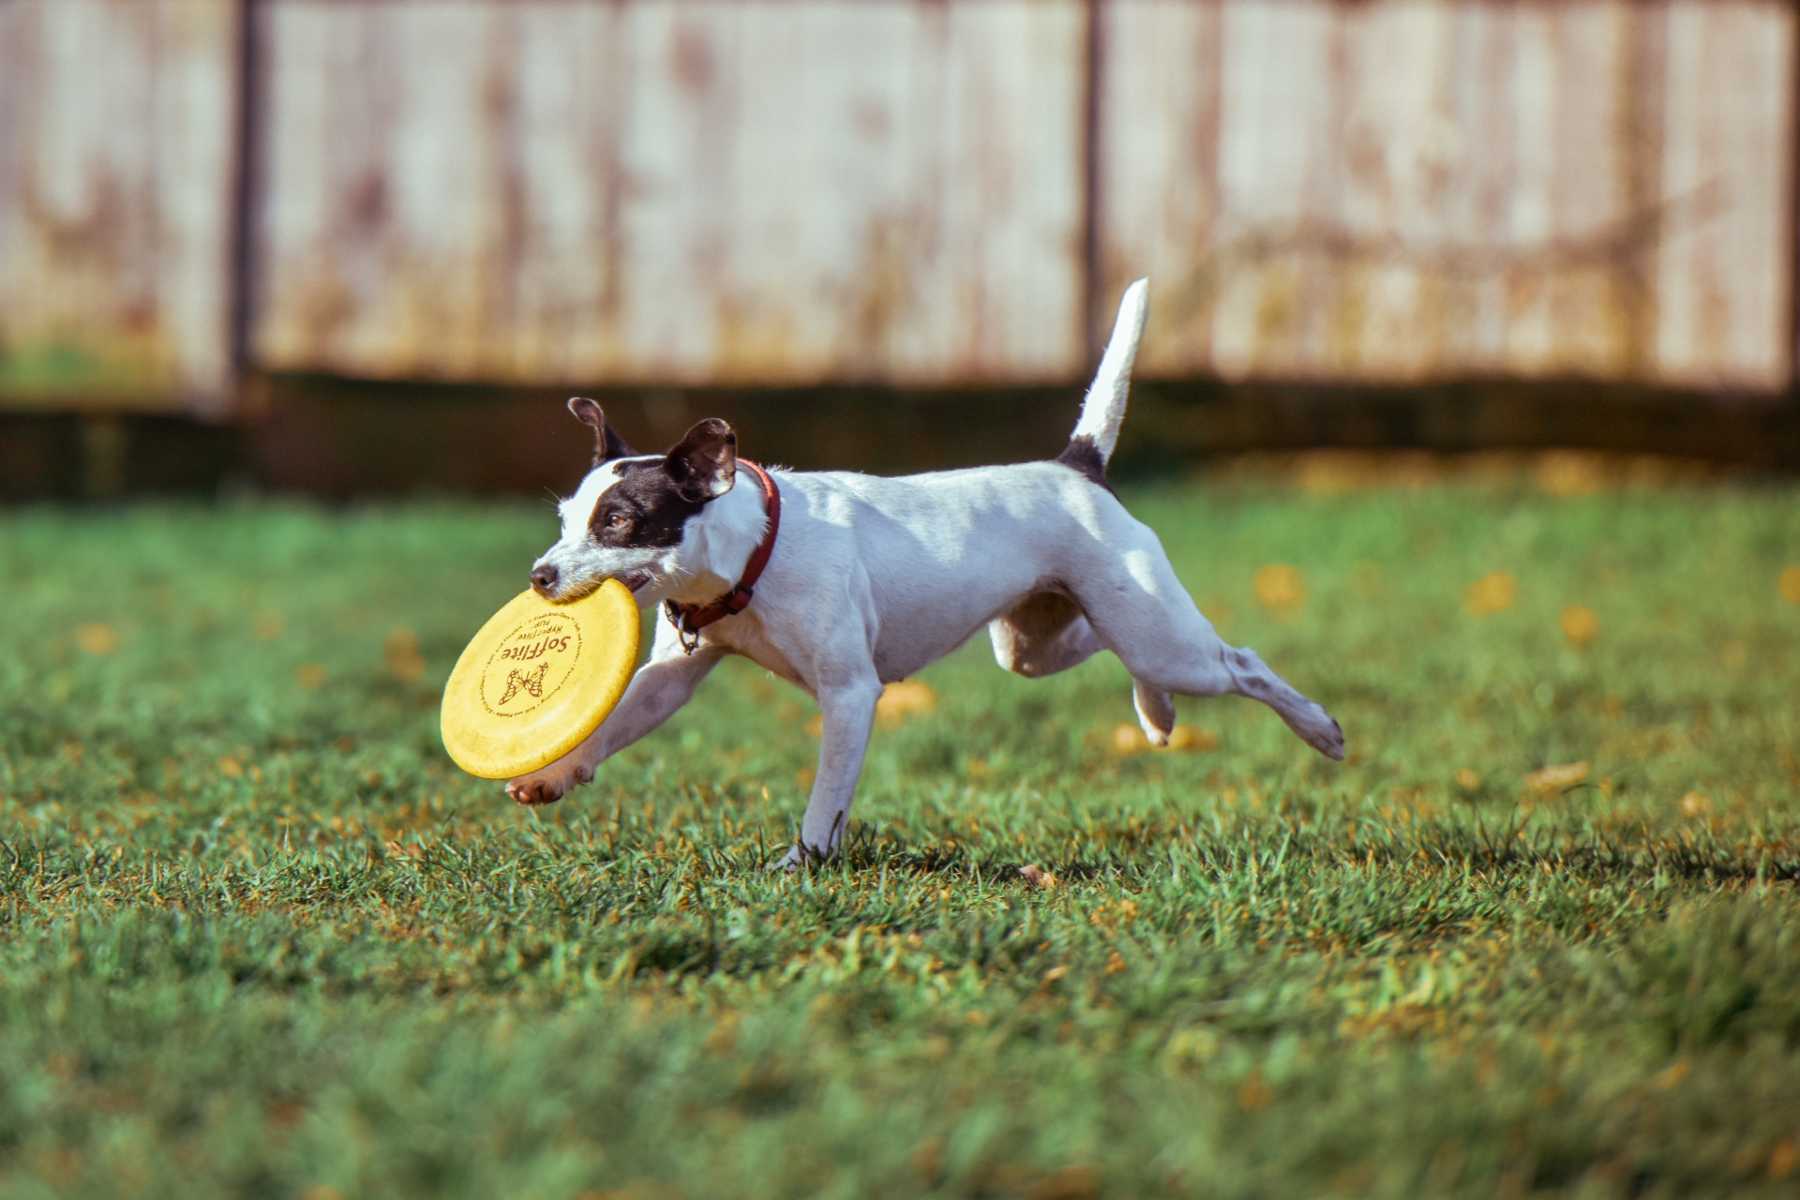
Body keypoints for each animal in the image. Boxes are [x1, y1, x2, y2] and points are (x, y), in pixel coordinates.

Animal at [500, 280, 1346, 863]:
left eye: (618, 522)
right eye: (565, 519)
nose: (539, 576)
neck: (752, 555)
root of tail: (1076, 466)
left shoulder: (850, 696)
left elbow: (826, 799)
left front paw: (802, 863)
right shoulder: (670, 678)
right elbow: (614, 724)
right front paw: (556, 774)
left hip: (1160, 634)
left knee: (1240, 663)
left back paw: (1317, 727)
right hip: (1038, 642)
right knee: (1109, 651)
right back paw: (1157, 713)